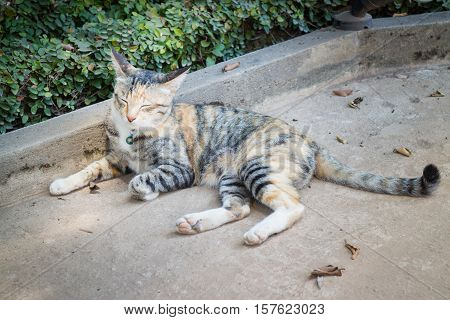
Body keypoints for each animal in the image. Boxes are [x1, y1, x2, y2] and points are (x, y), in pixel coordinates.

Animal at [48, 49, 440, 245]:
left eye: (147, 107)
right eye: (122, 100)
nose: (129, 117)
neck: (135, 137)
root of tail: (309, 141)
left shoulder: (179, 168)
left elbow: (145, 178)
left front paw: (143, 189)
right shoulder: (117, 157)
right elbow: (91, 168)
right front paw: (63, 183)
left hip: (257, 165)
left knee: (291, 207)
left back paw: (257, 233)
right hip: (231, 174)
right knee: (239, 208)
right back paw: (195, 223)